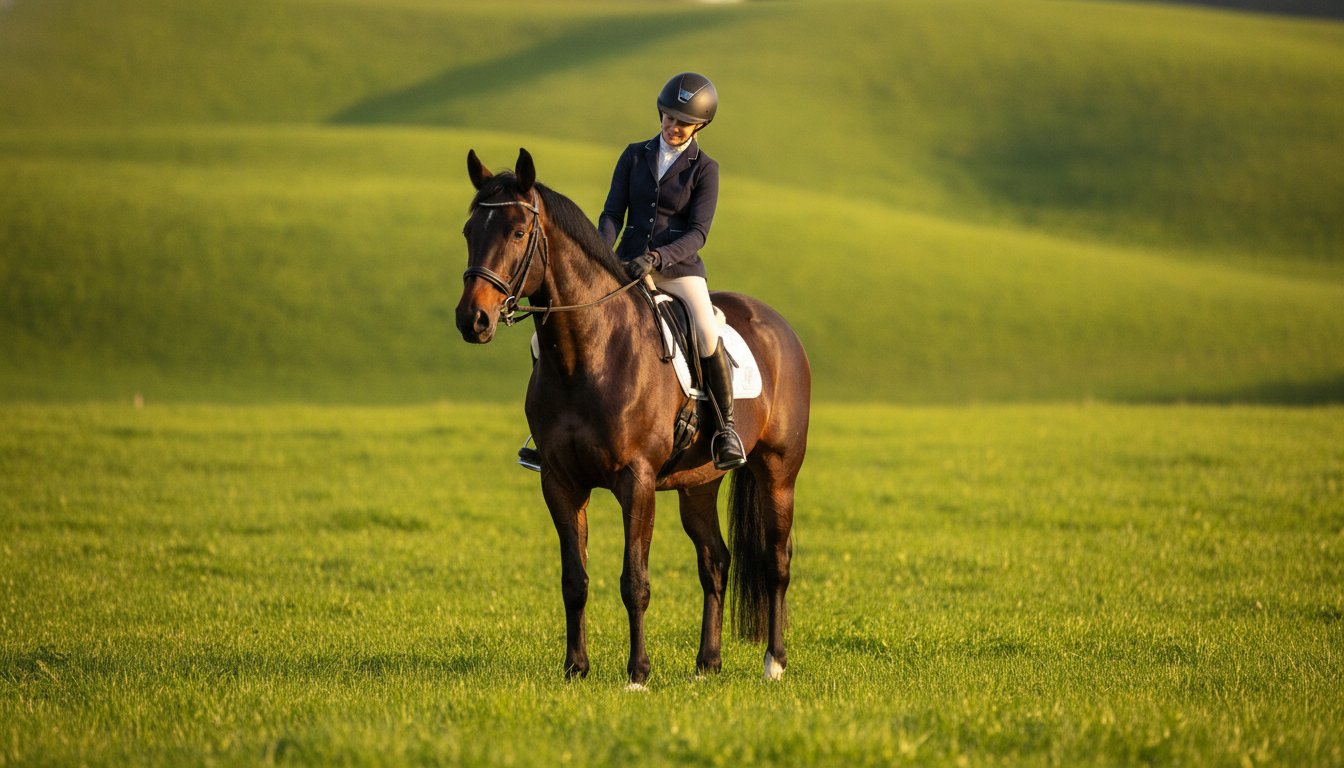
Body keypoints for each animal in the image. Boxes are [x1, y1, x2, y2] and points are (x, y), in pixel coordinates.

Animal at [455, 148, 810, 687]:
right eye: (469, 230)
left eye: (517, 232)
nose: (472, 320)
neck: (587, 354)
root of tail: (779, 326)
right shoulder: (559, 482)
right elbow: (574, 580)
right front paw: (575, 669)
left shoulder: (636, 480)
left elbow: (634, 581)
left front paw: (637, 673)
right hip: (698, 482)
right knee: (715, 561)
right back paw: (708, 663)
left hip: (778, 471)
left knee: (776, 560)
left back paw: (774, 662)